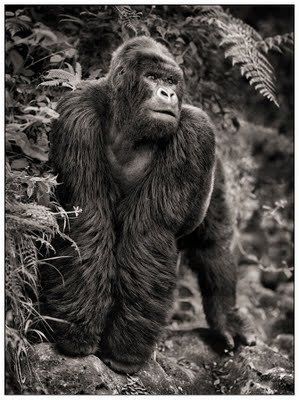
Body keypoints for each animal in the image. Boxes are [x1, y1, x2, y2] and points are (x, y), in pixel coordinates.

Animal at [45, 36, 258, 374]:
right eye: (152, 77)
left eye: (171, 81)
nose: (168, 94)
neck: (128, 126)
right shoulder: (77, 114)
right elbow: (87, 218)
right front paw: (77, 333)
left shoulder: (197, 132)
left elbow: (149, 234)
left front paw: (125, 352)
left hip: (216, 166)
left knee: (214, 244)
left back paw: (226, 314)